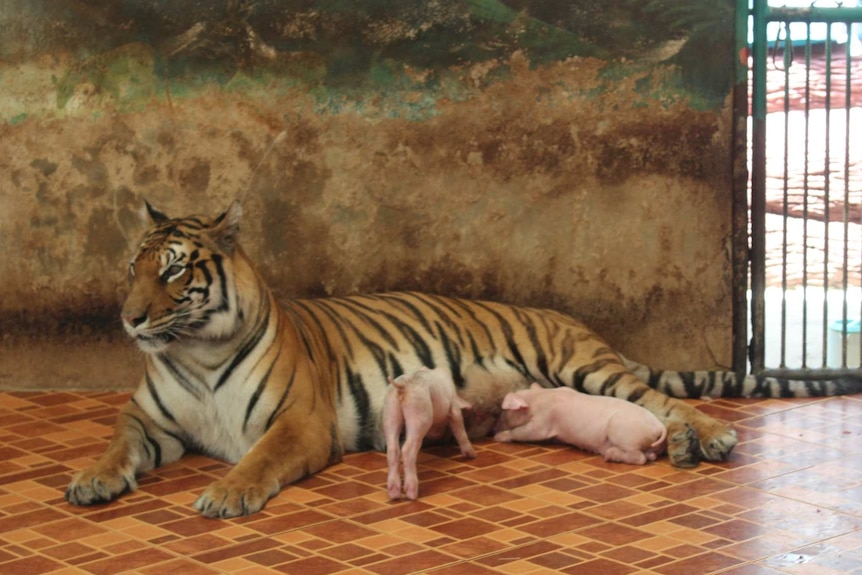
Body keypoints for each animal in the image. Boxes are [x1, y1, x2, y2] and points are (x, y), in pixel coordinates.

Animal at [66, 201, 862, 516]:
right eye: (132, 267)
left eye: (173, 270)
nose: (128, 318)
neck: (196, 353)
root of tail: (571, 317)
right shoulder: (148, 420)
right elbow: (114, 442)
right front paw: (91, 480)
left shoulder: (299, 423)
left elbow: (257, 459)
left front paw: (227, 493)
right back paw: (689, 448)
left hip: (585, 367)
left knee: (665, 400)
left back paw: (713, 437)